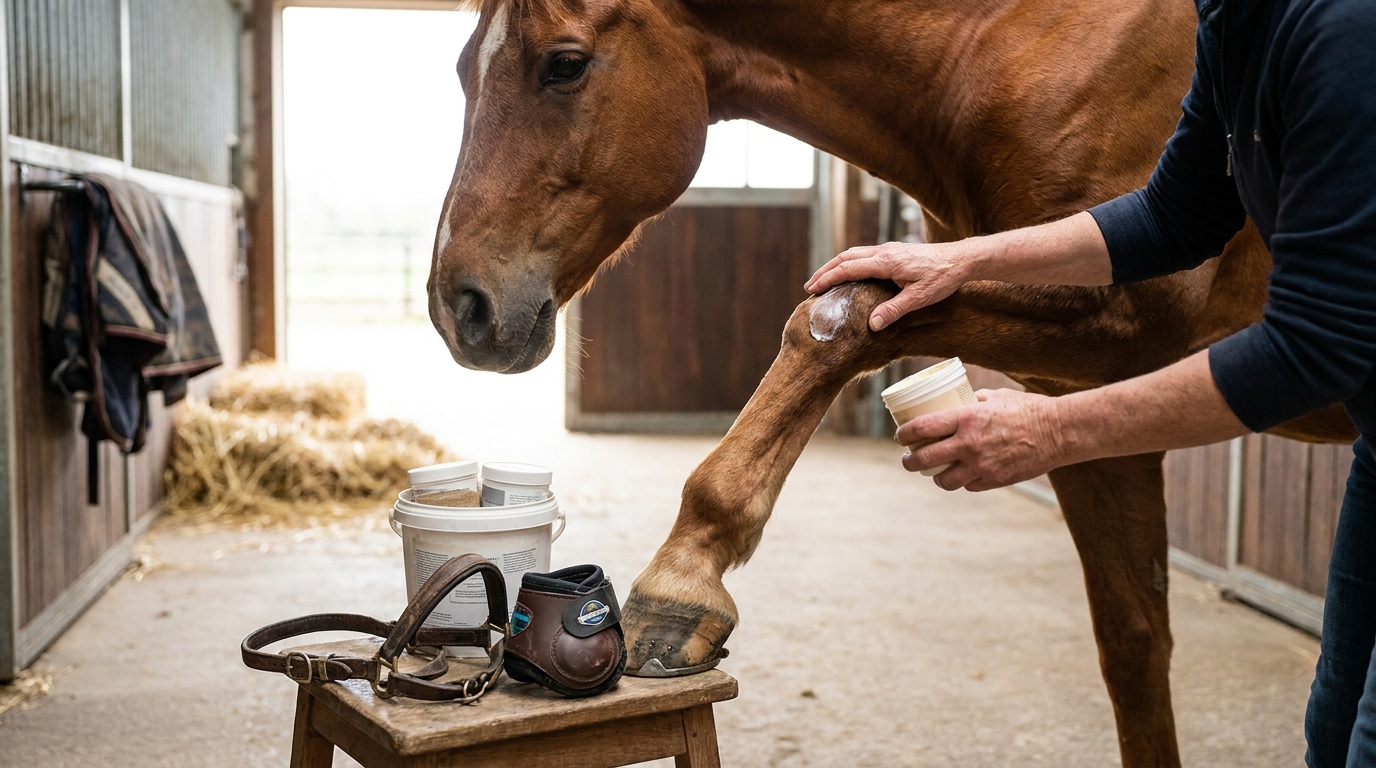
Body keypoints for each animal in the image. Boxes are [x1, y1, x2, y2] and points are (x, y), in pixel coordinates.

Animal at [427, 0, 1356, 763]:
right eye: (463, 68)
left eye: (564, 63)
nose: (458, 306)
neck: (997, 46)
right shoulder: (1088, 395)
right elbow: (1134, 648)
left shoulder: (1133, 311)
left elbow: (843, 312)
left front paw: (680, 585)